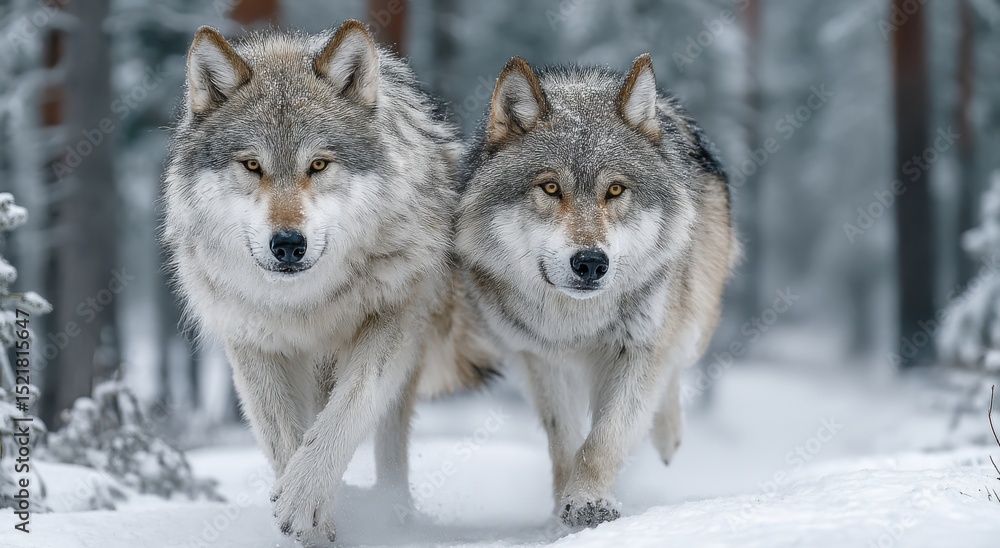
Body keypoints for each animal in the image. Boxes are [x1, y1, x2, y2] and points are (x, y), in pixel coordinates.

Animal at [162, 20, 494, 544]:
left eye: (318, 165)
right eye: (252, 165)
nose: (287, 244)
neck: (305, 302)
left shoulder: (392, 321)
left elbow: (344, 415)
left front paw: (304, 500)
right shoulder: (252, 342)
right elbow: (284, 436)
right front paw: (310, 522)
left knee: (388, 444)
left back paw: (395, 515)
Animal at [456, 54, 737, 527]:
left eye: (616, 189)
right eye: (551, 187)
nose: (590, 263)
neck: (578, 321)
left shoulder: (640, 348)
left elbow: (605, 439)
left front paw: (588, 501)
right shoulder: (541, 359)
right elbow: (565, 443)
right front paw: (564, 506)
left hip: (694, 322)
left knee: (673, 371)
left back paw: (668, 436)